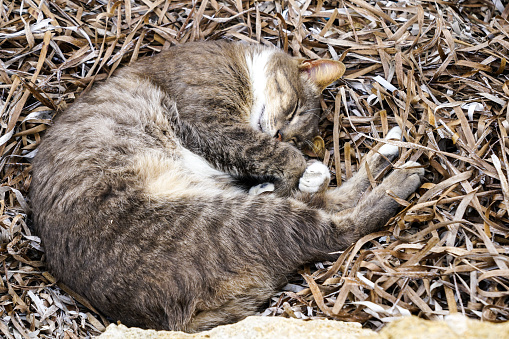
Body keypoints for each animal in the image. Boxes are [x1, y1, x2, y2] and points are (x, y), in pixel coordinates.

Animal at [28, 41, 424, 334]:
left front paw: (297, 169)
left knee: (334, 216)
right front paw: (298, 169)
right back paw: (399, 169)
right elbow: (276, 157)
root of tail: (171, 323)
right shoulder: (210, 118)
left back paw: (391, 152)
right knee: (337, 227)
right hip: (229, 218)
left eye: (297, 132)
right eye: (294, 108)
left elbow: (278, 161)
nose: (280, 134)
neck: (239, 63)